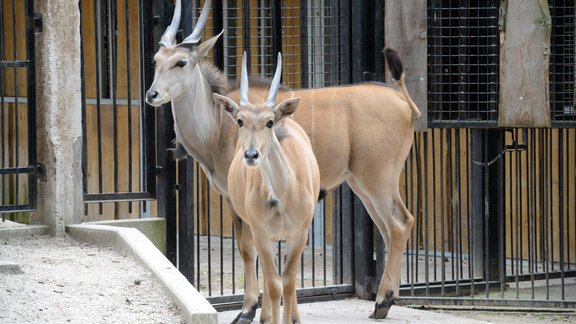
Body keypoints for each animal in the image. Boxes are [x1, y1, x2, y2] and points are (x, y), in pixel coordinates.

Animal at [214, 53, 322, 324]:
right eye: (240, 121)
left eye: (270, 122)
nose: (251, 155)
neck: (280, 196)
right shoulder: (261, 233)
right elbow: (274, 285)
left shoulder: (299, 234)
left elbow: (289, 282)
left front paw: (289, 319)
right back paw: (261, 315)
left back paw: (293, 316)